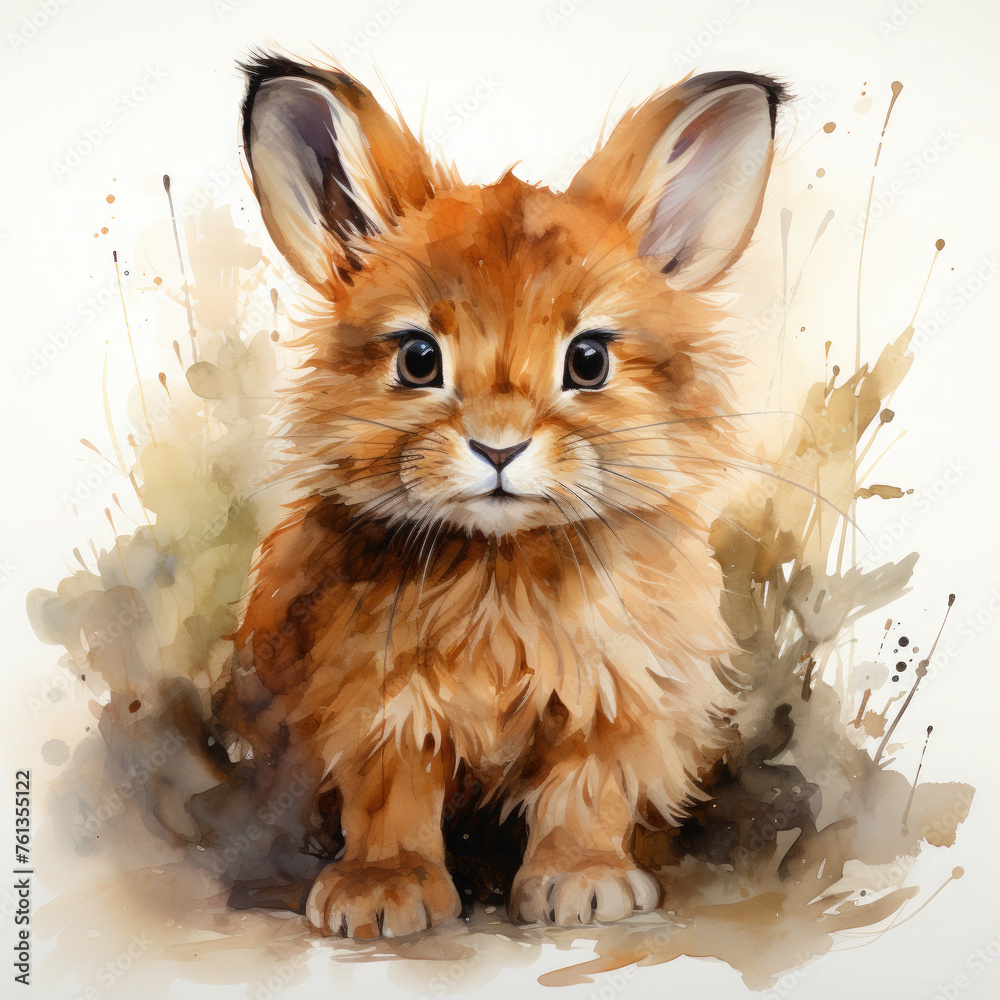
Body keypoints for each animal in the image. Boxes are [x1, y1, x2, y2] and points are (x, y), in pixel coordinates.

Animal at [220, 52, 785, 939]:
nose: (497, 446)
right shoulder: (379, 710)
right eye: (418, 359)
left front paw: (584, 889)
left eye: (589, 360)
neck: (502, 557)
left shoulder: (613, 702)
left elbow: (585, 795)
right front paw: (380, 897)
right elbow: (391, 801)